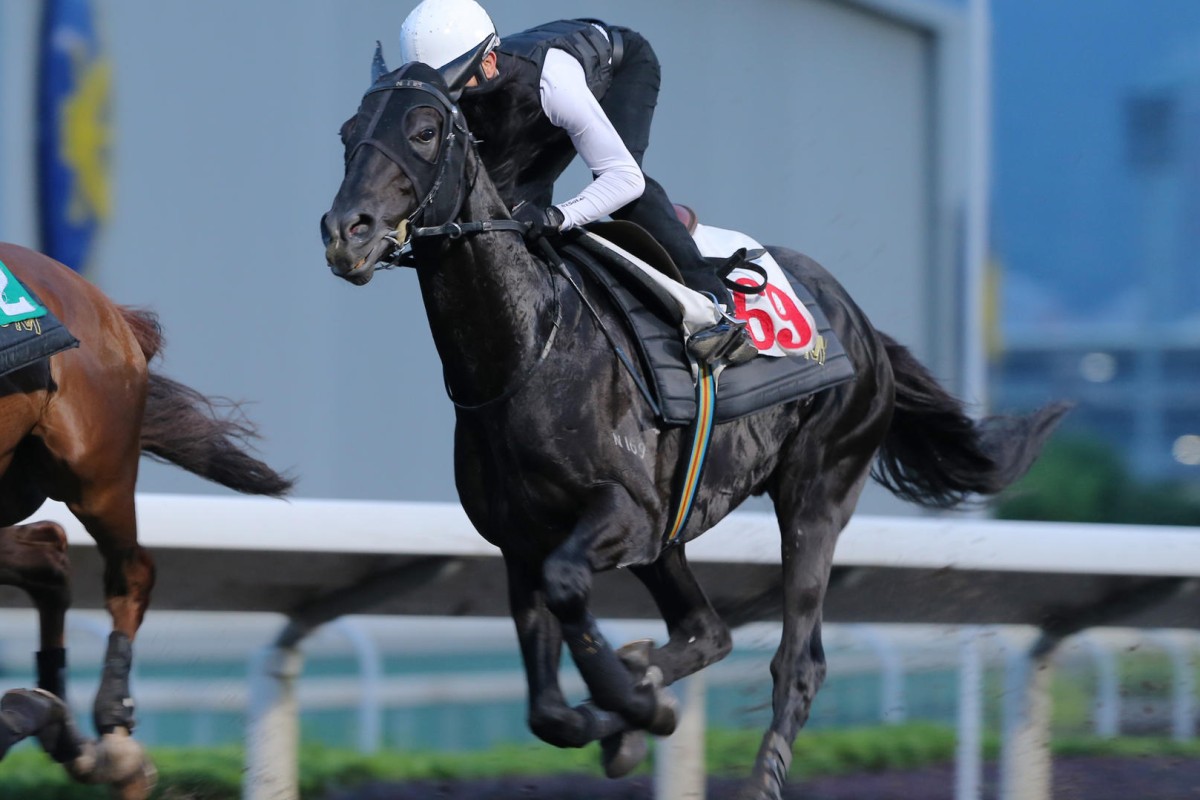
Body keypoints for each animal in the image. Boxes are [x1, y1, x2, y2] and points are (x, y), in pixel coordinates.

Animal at [0, 241, 292, 796]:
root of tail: (103, 303)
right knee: (49, 557)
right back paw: (54, 721)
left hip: (93, 471)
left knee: (130, 573)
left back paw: (112, 740)